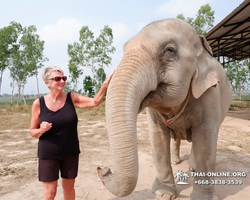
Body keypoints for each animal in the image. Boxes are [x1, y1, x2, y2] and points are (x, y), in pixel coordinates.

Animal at [97, 18, 232, 199]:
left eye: (169, 51)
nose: (102, 168)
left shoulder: (210, 93)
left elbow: (205, 140)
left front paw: (202, 198)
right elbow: (158, 138)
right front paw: (163, 193)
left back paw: (192, 167)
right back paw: (177, 161)